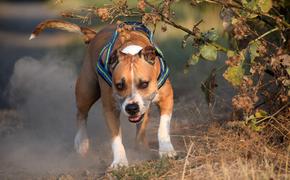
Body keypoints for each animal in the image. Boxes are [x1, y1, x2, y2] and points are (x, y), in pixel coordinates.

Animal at [30, 20, 176, 168]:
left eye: (144, 84)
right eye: (119, 85)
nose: (132, 108)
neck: (130, 50)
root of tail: (94, 35)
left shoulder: (167, 98)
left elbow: (163, 127)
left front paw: (166, 150)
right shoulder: (109, 109)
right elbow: (115, 138)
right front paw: (119, 162)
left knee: (142, 124)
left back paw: (142, 147)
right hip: (86, 91)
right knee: (81, 114)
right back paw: (81, 142)